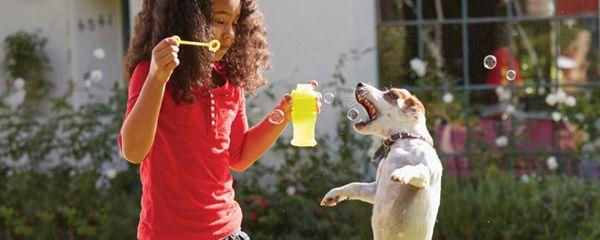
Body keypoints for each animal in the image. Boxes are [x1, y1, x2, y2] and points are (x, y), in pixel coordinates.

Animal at [322, 83, 442, 240]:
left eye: (391, 95)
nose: (360, 84)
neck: (404, 140)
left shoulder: (426, 176)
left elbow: (414, 168)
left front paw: (401, 173)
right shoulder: (374, 189)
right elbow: (354, 186)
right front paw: (335, 193)